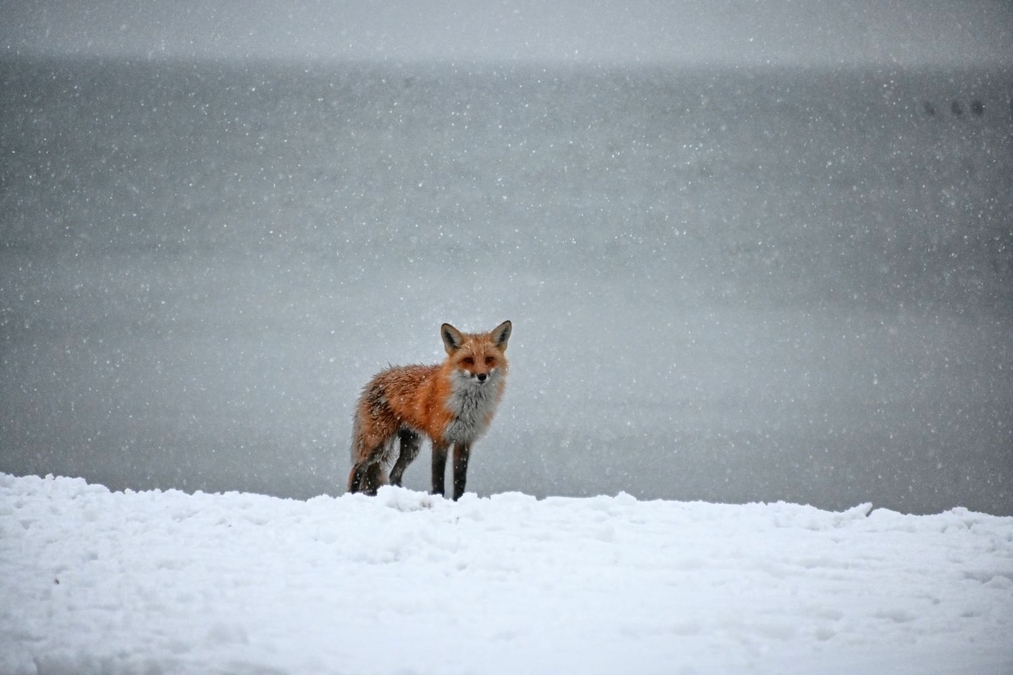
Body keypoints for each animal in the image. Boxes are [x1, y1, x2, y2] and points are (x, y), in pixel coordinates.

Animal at [348, 320, 510, 498]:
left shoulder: (464, 441)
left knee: (394, 474)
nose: (482, 376)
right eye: (468, 360)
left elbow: (460, 480)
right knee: (357, 469)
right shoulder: (440, 439)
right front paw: (439, 499)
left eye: (489, 359)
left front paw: (458, 501)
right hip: (378, 445)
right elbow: (438, 479)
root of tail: (375, 379)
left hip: (411, 448)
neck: (467, 408)